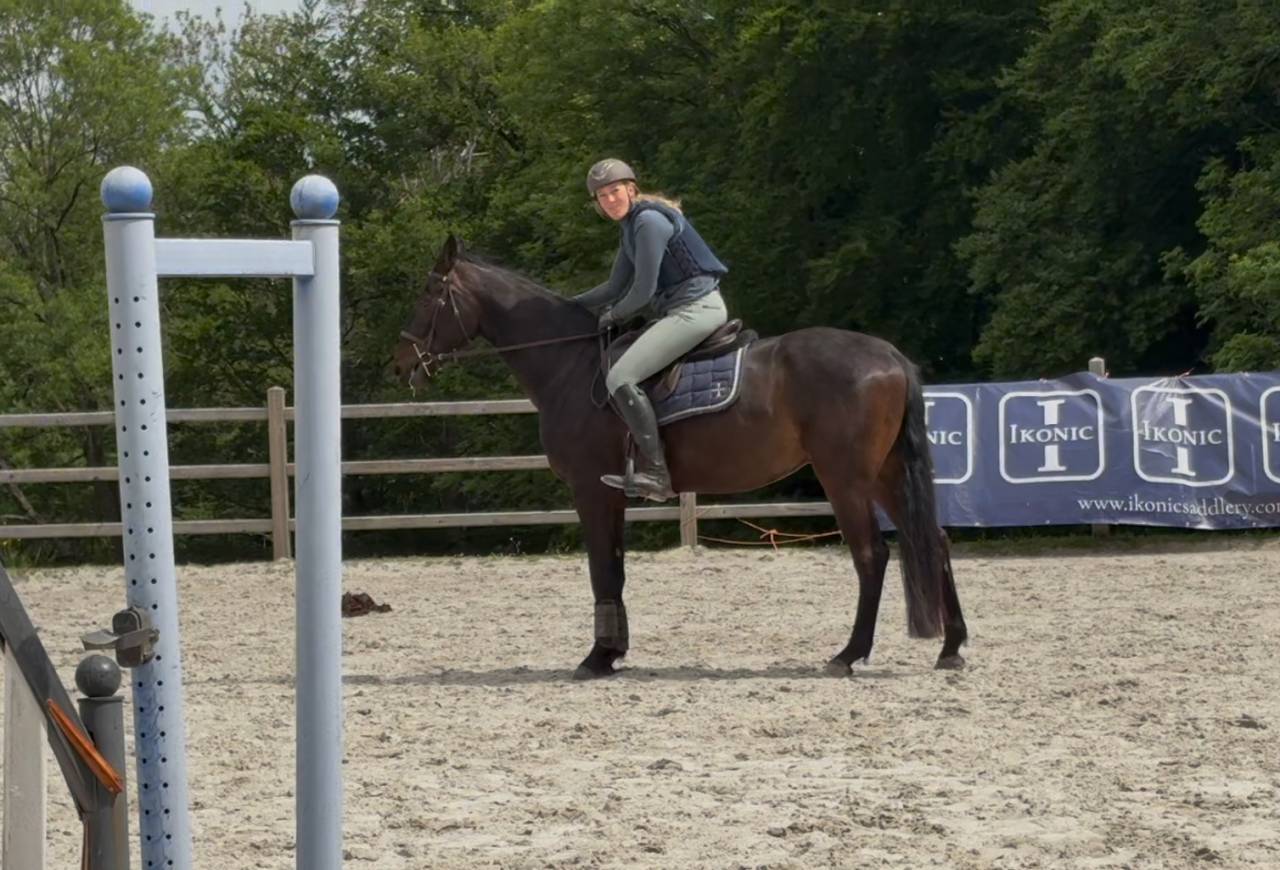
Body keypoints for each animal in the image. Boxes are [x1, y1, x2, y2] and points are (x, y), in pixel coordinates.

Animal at [392, 235, 968, 679]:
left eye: (430, 293)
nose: (401, 364)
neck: (570, 364)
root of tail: (889, 354)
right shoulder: (610, 494)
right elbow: (615, 570)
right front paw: (613, 653)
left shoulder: (589, 489)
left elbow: (602, 570)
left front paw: (597, 657)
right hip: (885, 474)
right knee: (934, 540)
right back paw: (952, 647)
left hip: (845, 478)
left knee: (872, 555)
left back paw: (849, 655)